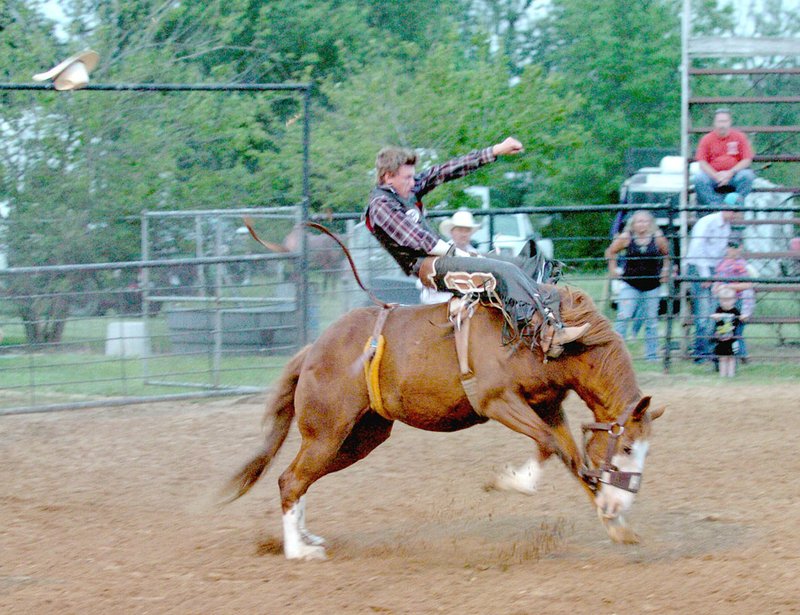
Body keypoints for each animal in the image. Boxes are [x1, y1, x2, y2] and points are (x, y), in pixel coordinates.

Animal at [223, 286, 664, 560]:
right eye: (627, 447)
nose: (622, 501)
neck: (544, 334)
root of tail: (314, 348)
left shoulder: (549, 407)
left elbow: (574, 460)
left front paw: (616, 524)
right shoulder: (496, 400)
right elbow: (547, 445)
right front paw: (511, 482)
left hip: (360, 438)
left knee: (299, 479)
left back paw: (304, 536)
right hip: (328, 434)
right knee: (291, 479)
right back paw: (298, 551)